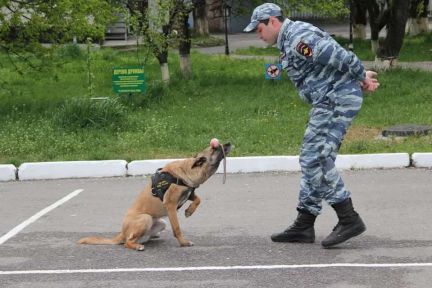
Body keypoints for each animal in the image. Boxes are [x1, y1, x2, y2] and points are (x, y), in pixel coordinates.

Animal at [79, 142, 231, 250]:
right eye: (215, 148)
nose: (229, 143)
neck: (187, 170)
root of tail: (121, 233)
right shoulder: (170, 205)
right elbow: (177, 228)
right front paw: (183, 243)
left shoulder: (188, 194)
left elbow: (198, 199)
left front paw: (189, 211)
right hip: (145, 218)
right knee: (127, 242)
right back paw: (137, 246)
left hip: (161, 223)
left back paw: (152, 237)